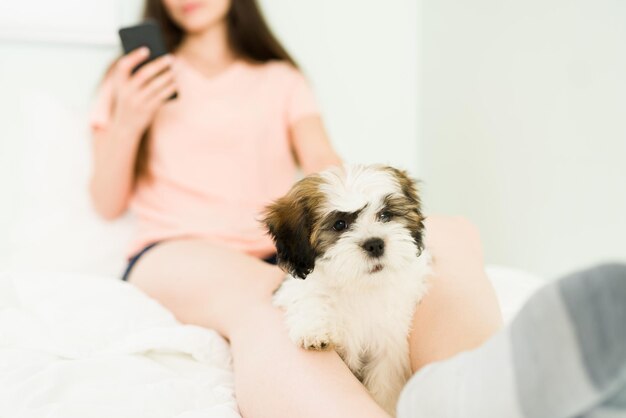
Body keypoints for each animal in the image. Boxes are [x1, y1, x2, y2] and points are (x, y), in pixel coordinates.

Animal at [262, 164, 428, 414]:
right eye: (339, 224)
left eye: (385, 215)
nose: (375, 244)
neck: (356, 284)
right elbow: (309, 298)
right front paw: (314, 329)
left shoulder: (389, 343)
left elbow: (385, 381)